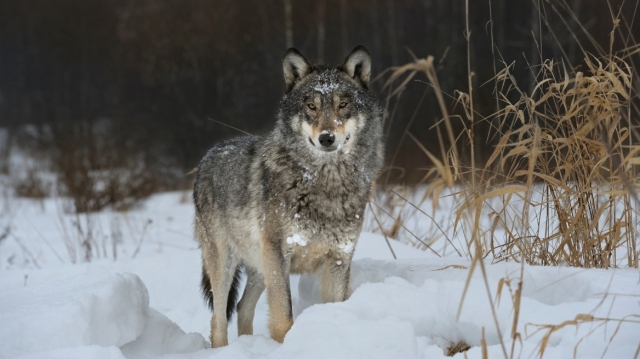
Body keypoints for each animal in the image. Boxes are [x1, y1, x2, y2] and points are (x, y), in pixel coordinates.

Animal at [195, 46, 382, 348]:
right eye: (311, 106)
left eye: (343, 105)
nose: (327, 138)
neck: (325, 184)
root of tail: (208, 156)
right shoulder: (278, 254)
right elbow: (283, 318)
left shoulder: (338, 259)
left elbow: (334, 309)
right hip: (227, 264)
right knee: (219, 318)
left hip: (260, 266)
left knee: (242, 308)